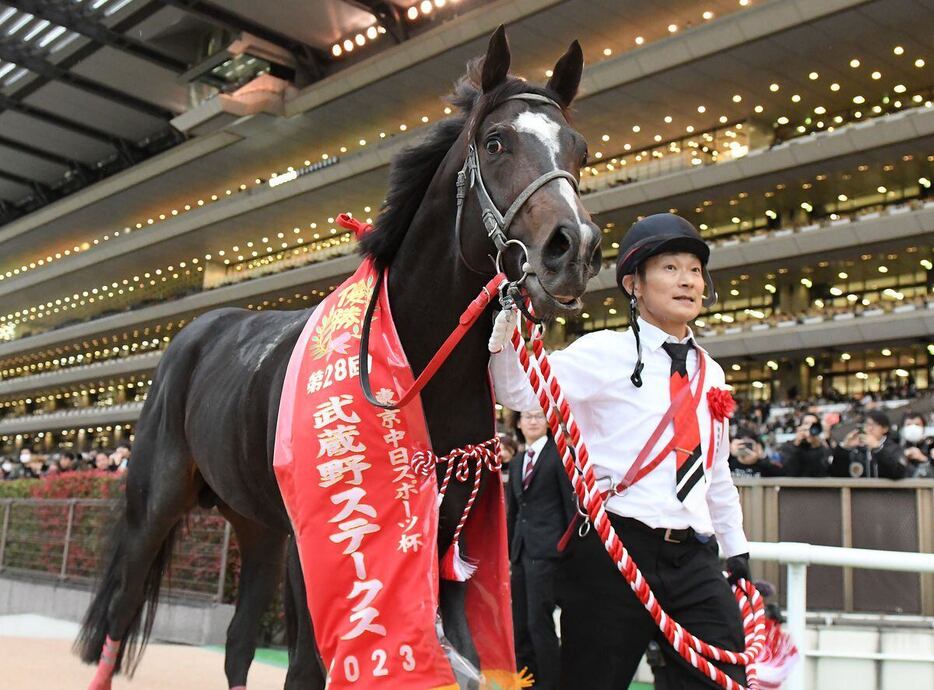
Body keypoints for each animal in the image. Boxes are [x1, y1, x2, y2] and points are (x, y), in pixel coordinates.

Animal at [78, 24, 600, 684]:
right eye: (496, 142)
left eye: (579, 150)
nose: (573, 247)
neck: (414, 367)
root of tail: (198, 331)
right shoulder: (332, 547)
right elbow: (309, 668)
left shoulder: (444, 546)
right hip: (157, 500)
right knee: (121, 614)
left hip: (258, 526)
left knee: (238, 642)